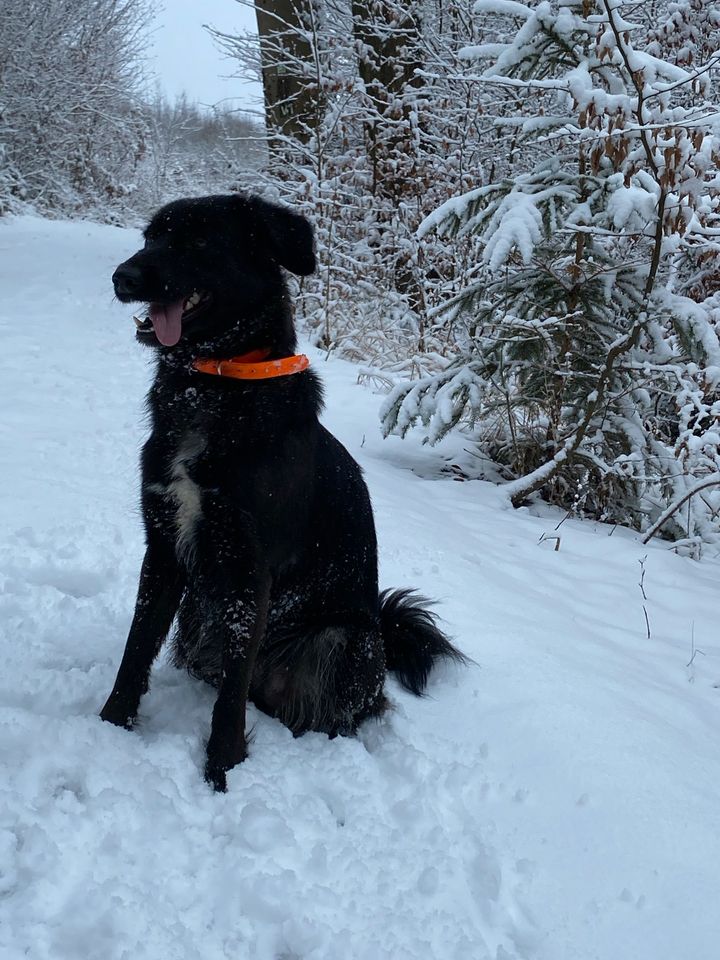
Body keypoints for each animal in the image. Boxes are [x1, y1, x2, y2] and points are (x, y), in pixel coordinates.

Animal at [98, 193, 464, 788]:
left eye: (200, 241)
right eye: (150, 237)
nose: (122, 276)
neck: (214, 384)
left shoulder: (251, 569)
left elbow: (230, 697)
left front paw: (222, 770)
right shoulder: (164, 548)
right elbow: (137, 648)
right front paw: (111, 725)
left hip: (348, 640)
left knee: (328, 707)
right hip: (199, 614)